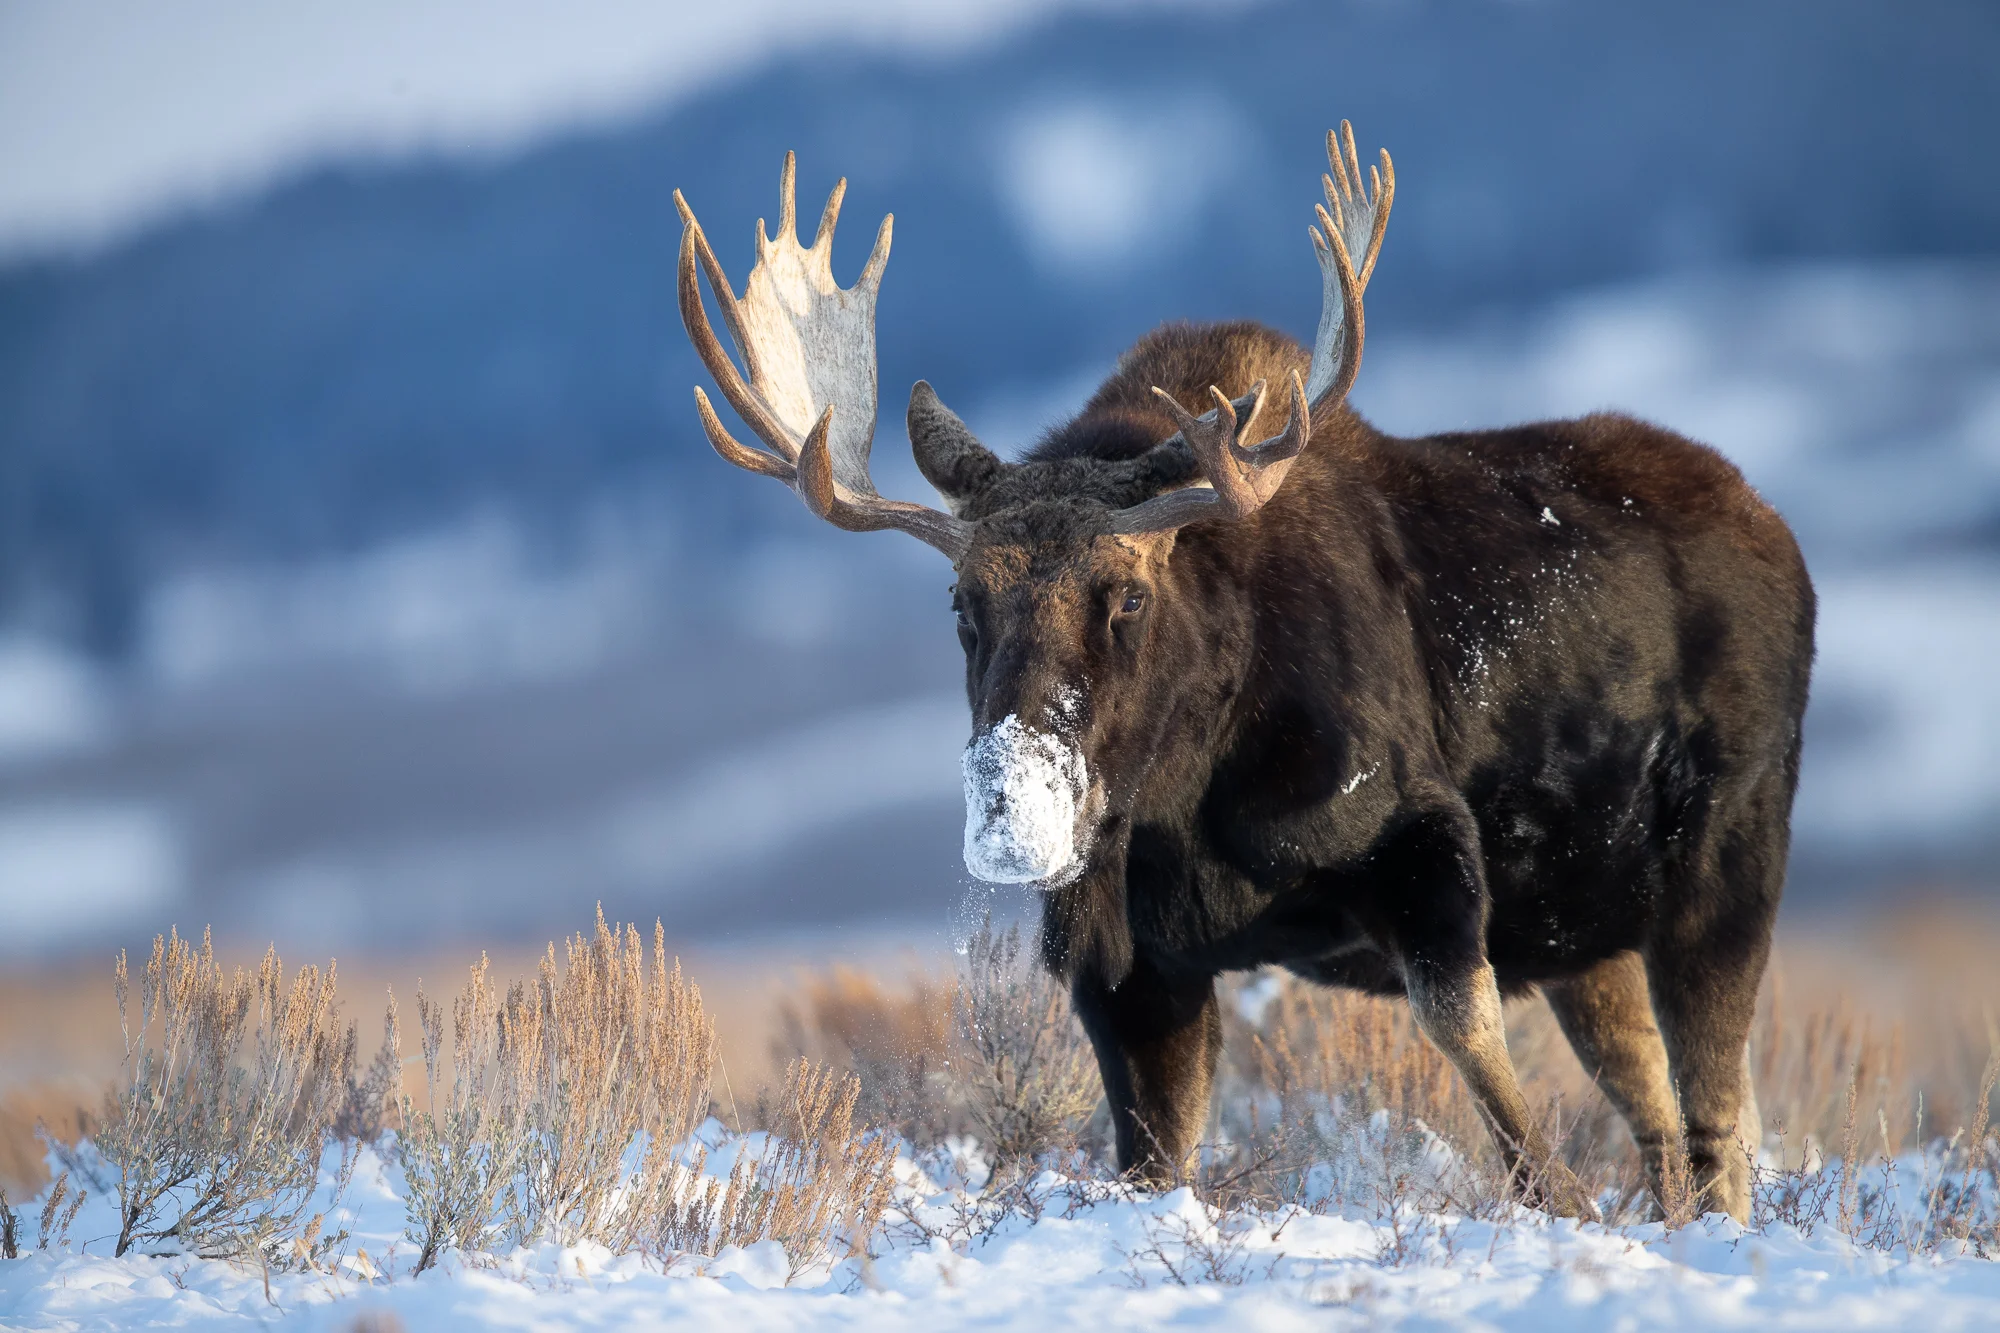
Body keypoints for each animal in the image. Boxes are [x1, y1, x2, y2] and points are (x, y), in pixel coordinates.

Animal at [671, 123, 1815, 1223]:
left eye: (1127, 597)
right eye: (961, 602)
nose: (1012, 811)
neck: (1186, 796)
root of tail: (1778, 532)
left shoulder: (1424, 836)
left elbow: (1465, 1029)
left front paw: (1561, 1201)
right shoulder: (1132, 958)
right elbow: (1155, 1151)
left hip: (1726, 861)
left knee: (1718, 1109)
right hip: (1588, 932)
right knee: (1663, 1106)